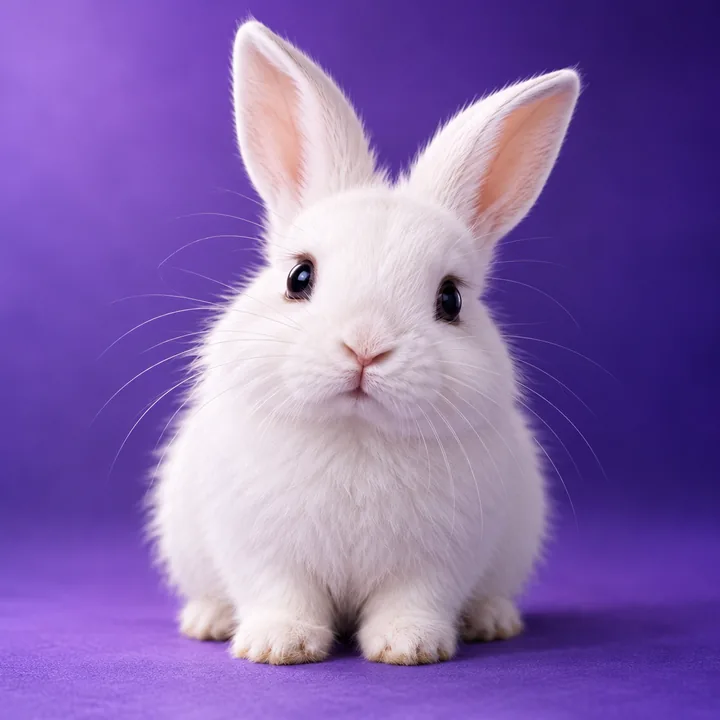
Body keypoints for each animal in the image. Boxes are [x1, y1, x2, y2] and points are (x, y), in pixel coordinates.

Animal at [148, 20, 580, 665]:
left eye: (450, 300)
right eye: (298, 277)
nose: (365, 348)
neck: (356, 432)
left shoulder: (438, 561)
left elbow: (413, 599)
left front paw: (410, 647)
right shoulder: (262, 551)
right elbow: (281, 594)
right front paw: (279, 646)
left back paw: (492, 621)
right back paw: (207, 619)